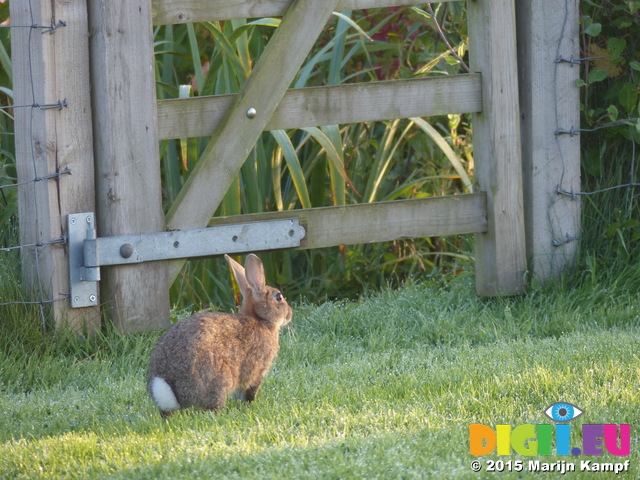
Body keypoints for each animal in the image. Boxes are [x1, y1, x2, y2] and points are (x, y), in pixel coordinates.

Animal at [148, 255, 292, 416]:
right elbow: (249, 390)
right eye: (279, 297)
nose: (290, 314)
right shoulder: (256, 371)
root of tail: (174, 393)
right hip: (221, 377)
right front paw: (249, 405)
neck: (259, 319)